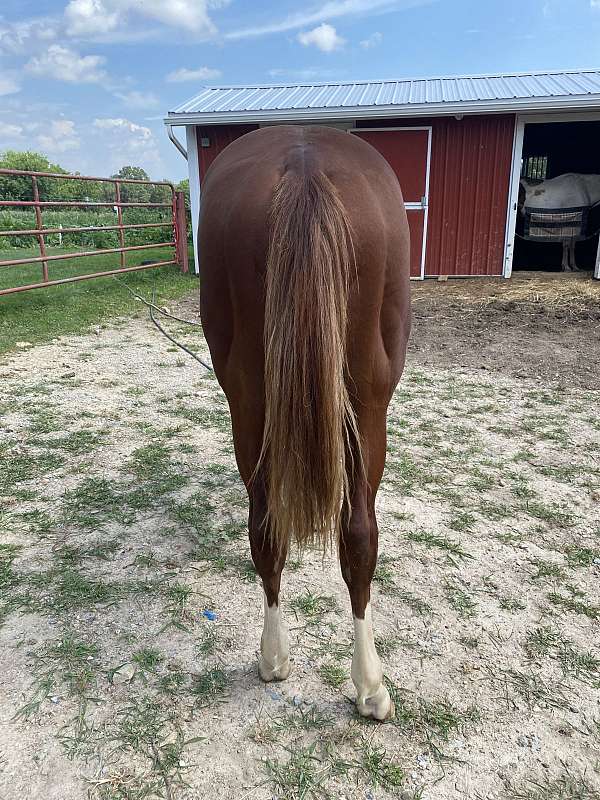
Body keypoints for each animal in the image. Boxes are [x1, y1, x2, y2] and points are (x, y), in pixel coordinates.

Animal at [198, 125, 411, 721]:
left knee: (271, 528)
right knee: (357, 533)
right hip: (369, 401)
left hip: (251, 400)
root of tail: (303, 165)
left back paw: (281, 660)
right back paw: (364, 684)